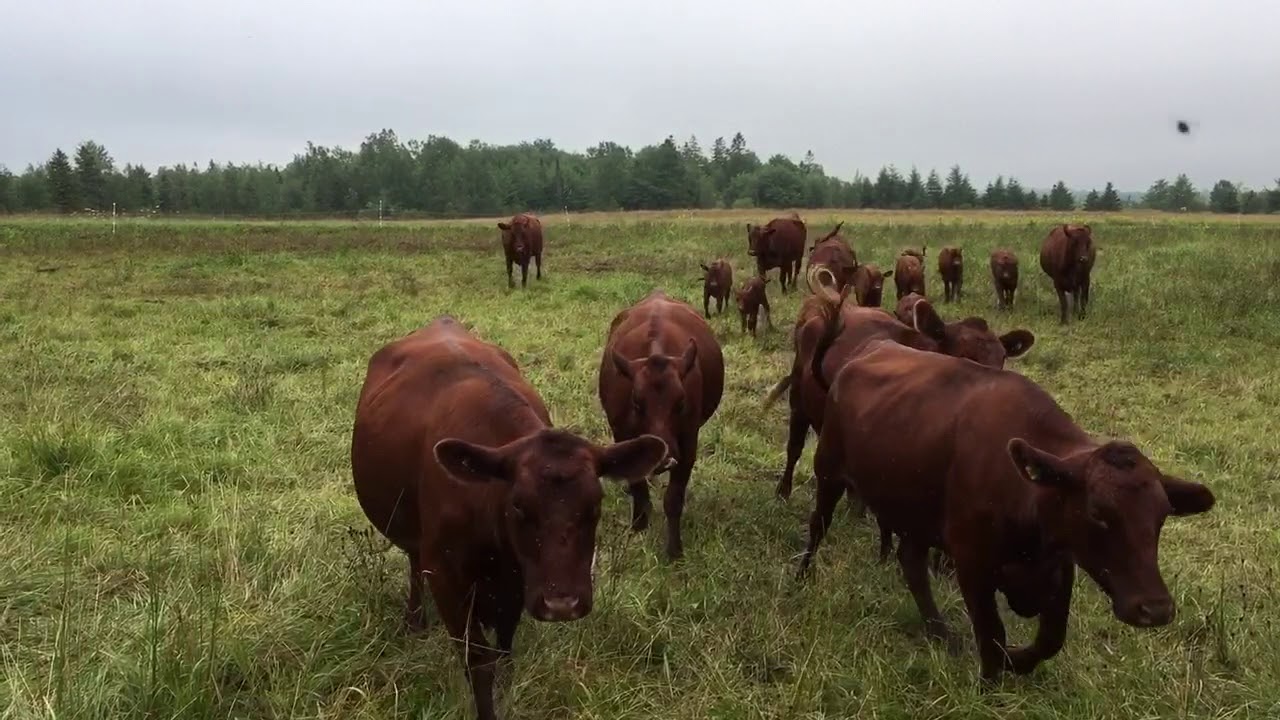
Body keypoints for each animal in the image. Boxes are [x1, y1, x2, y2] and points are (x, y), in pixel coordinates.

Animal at [350, 317, 668, 720]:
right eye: (518, 505)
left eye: (595, 503)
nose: (562, 604)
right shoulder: (446, 577)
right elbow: (477, 660)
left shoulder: (518, 579)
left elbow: (504, 646)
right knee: (413, 562)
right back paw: (414, 620)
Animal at [598, 290, 726, 560]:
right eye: (636, 402)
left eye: (681, 402)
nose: (665, 457)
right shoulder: (621, 435)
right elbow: (637, 485)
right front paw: (639, 525)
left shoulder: (688, 444)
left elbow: (673, 498)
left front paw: (674, 550)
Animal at [799, 334, 1215, 684]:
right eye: (1098, 512)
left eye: (1161, 517)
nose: (1155, 609)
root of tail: (864, 353)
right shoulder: (972, 563)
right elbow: (992, 632)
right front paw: (991, 680)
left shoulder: (1059, 567)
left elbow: (1051, 637)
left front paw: (1017, 660)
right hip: (829, 471)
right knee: (819, 524)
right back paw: (803, 573)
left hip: (916, 513)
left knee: (911, 563)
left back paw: (940, 632)